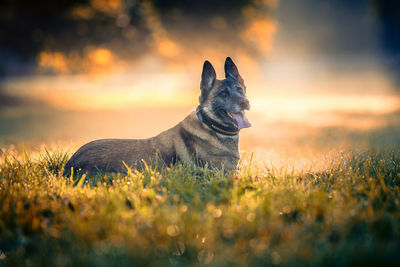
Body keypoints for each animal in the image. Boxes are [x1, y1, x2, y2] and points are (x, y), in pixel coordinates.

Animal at [63, 56, 250, 175]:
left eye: (239, 89)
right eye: (223, 93)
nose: (245, 103)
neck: (210, 126)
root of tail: (69, 165)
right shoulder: (224, 171)